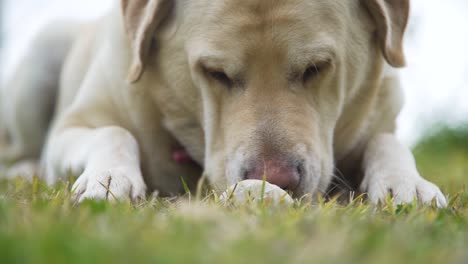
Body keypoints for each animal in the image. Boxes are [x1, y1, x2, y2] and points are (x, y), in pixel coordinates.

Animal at [0, 0, 446, 206]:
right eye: (216, 73)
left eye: (315, 68)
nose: (275, 180)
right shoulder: (72, 127)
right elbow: (111, 132)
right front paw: (108, 179)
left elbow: (387, 140)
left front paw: (407, 183)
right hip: (44, 51)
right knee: (19, 151)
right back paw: (24, 172)